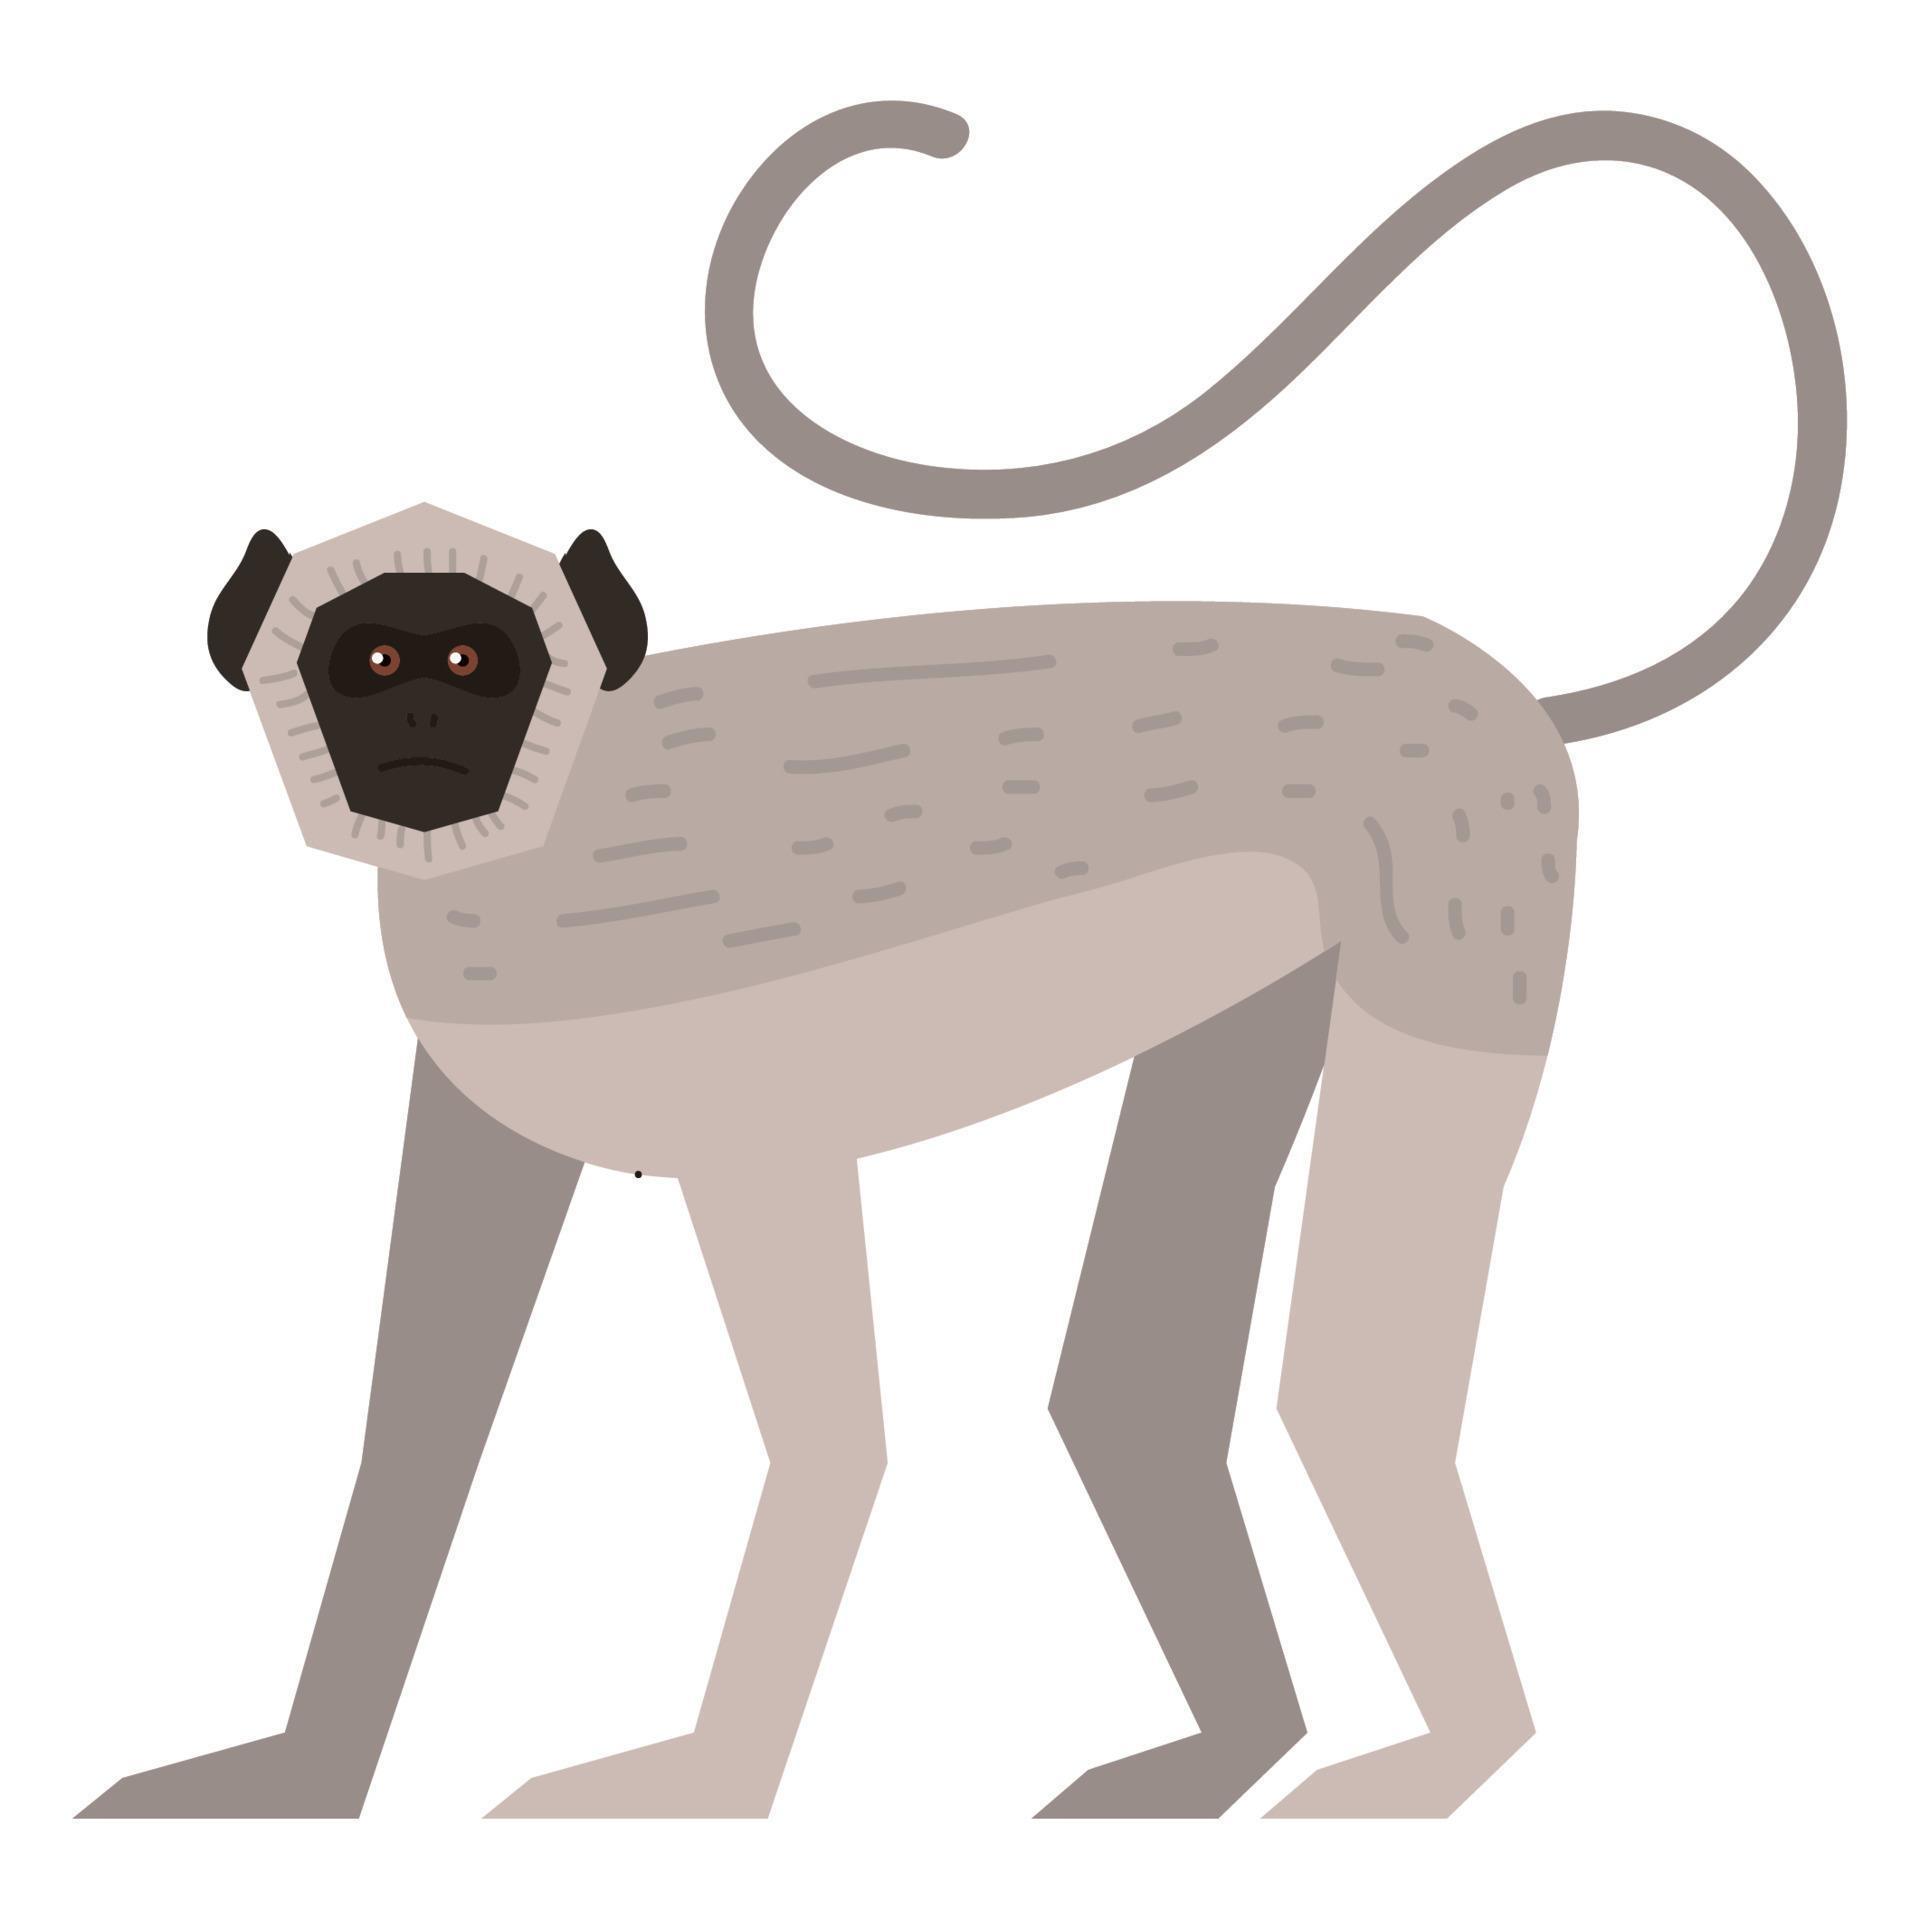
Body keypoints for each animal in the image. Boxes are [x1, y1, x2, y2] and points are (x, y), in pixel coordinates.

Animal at [79, 102, 1841, 1821]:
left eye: (472, 658)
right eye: (365, 657)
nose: (424, 725)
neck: (551, 822)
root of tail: (1507, 689)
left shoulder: (747, 1099)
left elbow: (832, 1442)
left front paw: (717, 1780)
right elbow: (424, 1421)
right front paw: (309, 1773)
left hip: (1470, 896)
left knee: (1354, 1380)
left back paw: (1447, 1754)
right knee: (1135, 1374)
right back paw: (1236, 1752)